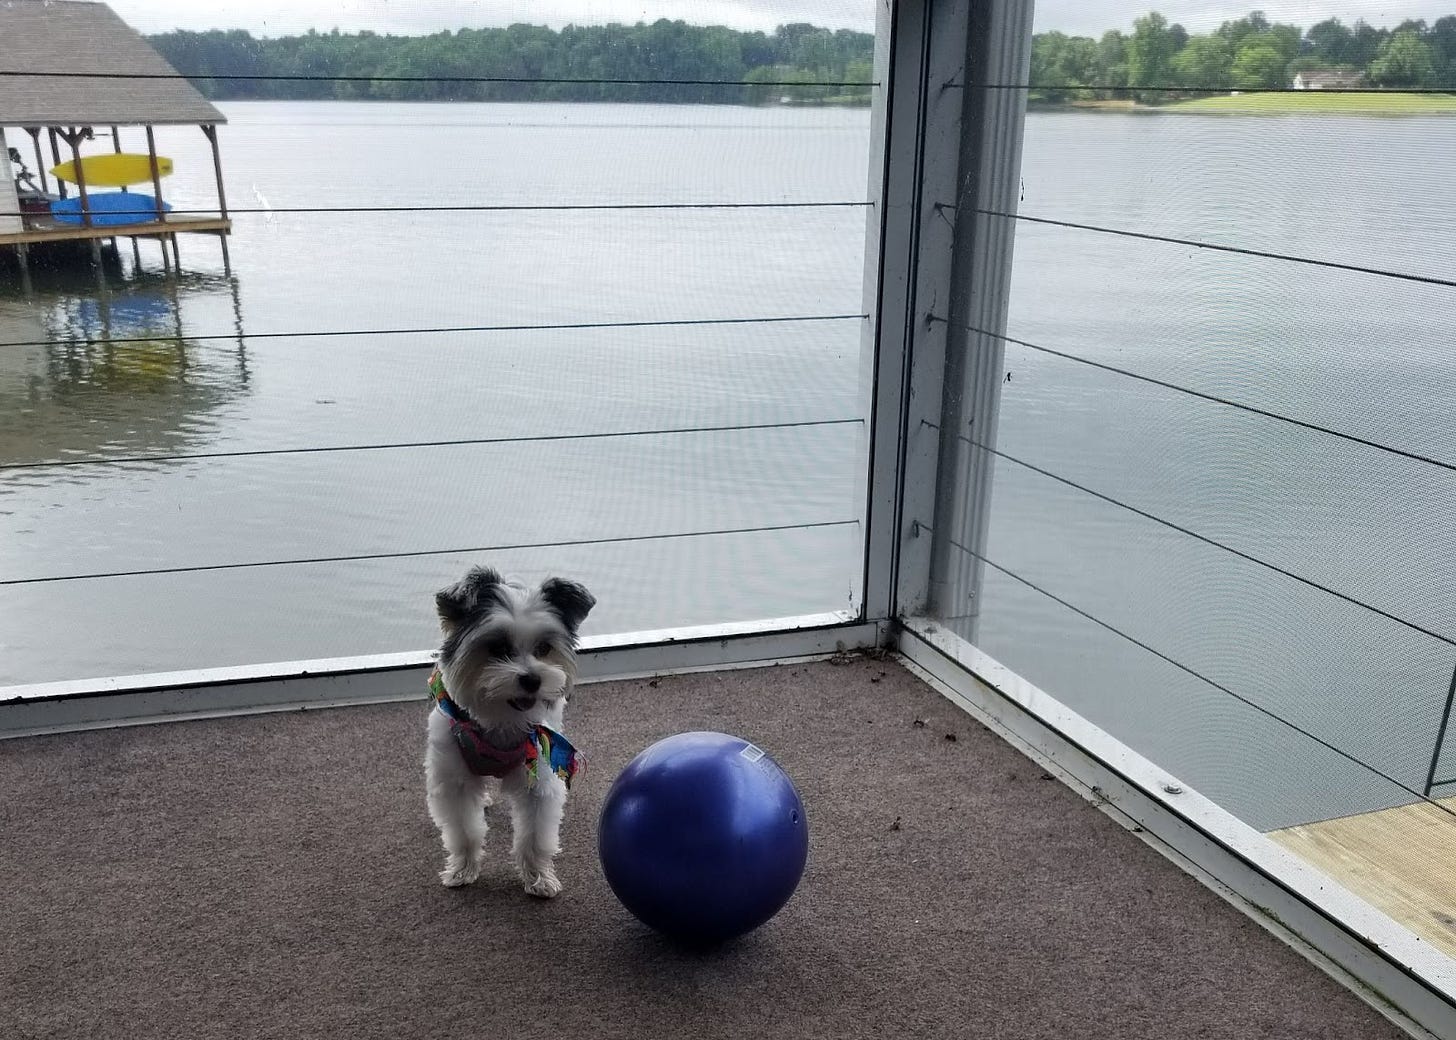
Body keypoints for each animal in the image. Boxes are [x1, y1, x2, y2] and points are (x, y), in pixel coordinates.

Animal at [425, 562, 594, 897]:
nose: (532, 679)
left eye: (544, 647)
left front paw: (539, 877)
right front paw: (463, 869)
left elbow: (535, 837)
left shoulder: (538, 776)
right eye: (497, 647)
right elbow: (465, 832)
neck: (500, 722)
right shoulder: (453, 780)